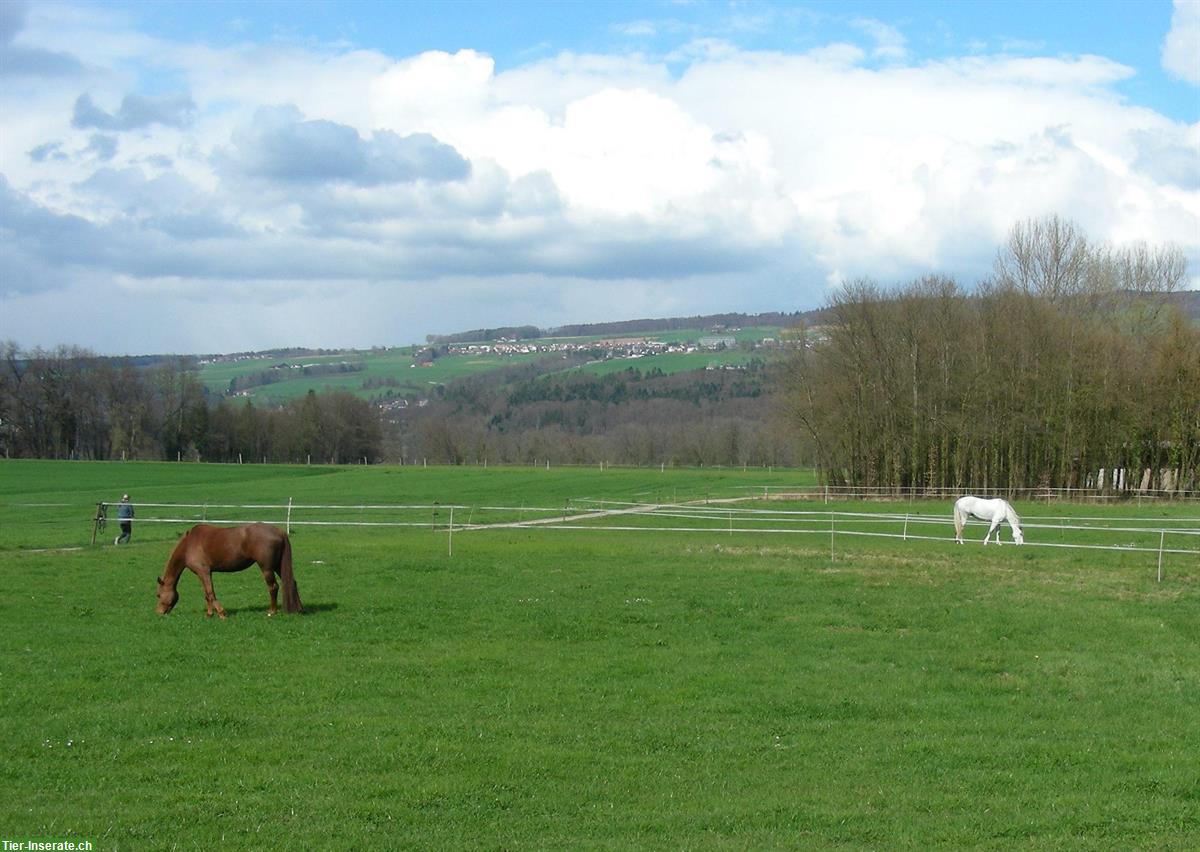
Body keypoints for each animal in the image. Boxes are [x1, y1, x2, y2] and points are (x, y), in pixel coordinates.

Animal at [156, 523, 302, 619]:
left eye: (158, 595)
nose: (158, 612)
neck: (188, 545)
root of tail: (280, 532)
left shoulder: (203, 571)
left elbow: (210, 592)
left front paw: (221, 613)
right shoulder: (205, 573)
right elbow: (207, 594)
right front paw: (209, 614)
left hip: (267, 568)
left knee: (273, 587)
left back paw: (272, 611)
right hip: (277, 566)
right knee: (292, 583)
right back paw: (299, 608)